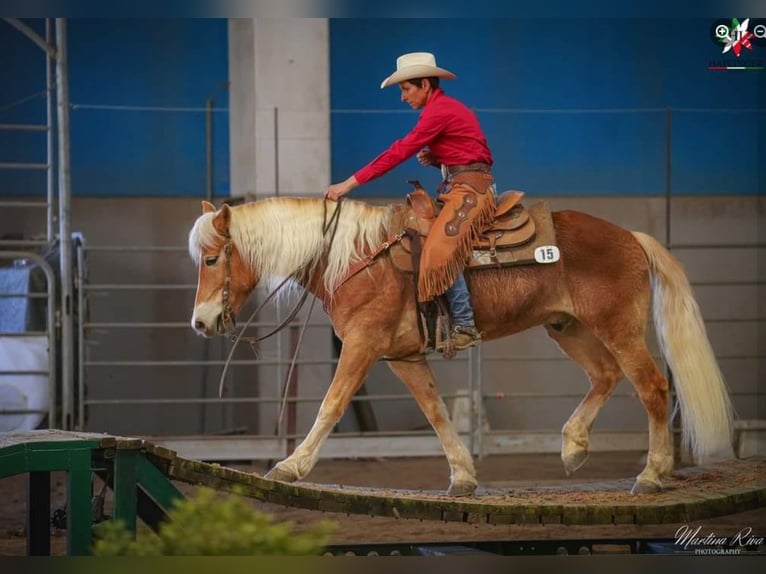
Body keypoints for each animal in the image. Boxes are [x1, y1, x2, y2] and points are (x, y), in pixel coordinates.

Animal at [189, 196, 736, 498]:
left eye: (213, 258)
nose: (200, 321)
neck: (356, 257)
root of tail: (630, 236)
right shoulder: (403, 356)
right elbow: (435, 412)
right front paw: (463, 476)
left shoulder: (362, 345)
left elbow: (332, 404)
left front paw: (290, 466)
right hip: (568, 327)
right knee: (605, 376)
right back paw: (573, 447)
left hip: (616, 327)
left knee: (652, 387)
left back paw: (652, 474)